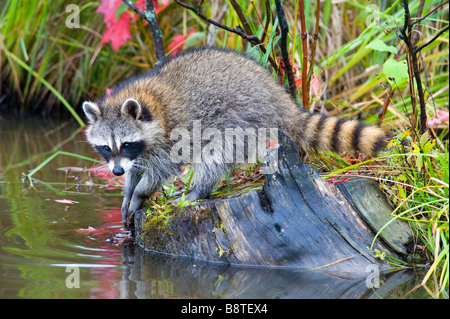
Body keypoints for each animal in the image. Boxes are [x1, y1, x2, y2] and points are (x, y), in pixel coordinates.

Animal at [81, 47, 386, 229]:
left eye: (125, 144)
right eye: (106, 148)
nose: (116, 172)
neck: (148, 103)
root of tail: (276, 96)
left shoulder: (171, 137)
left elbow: (161, 169)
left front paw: (140, 193)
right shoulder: (140, 152)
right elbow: (137, 168)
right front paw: (128, 191)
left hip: (242, 120)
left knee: (215, 155)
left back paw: (199, 190)